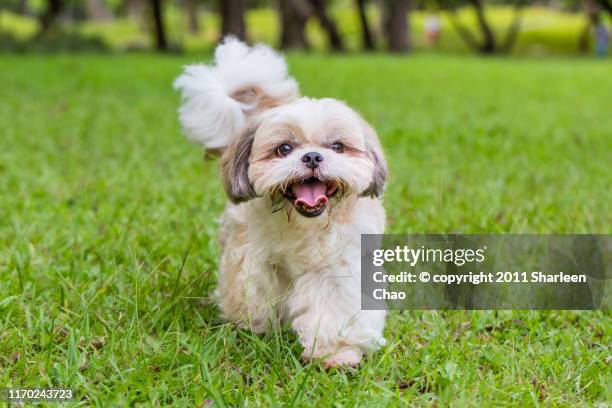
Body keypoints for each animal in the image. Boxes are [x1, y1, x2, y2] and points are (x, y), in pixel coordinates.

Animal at [175, 38, 388, 368]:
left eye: (337, 146)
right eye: (284, 148)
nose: (312, 156)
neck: (305, 225)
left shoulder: (338, 268)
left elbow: (334, 310)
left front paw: (335, 353)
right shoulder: (254, 259)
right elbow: (256, 294)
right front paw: (255, 328)